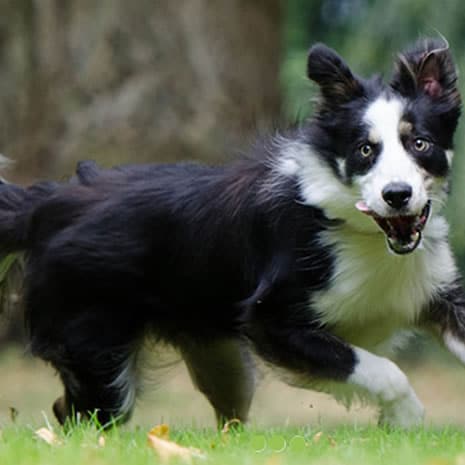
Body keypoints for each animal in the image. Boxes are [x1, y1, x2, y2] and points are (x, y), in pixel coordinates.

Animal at [0, 38, 464, 426]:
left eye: (419, 143)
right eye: (365, 150)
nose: (397, 195)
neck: (363, 233)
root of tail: (48, 203)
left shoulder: (433, 288)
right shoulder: (272, 320)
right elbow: (380, 369)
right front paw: (404, 419)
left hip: (219, 357)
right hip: (94, 343)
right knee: (76, 413)